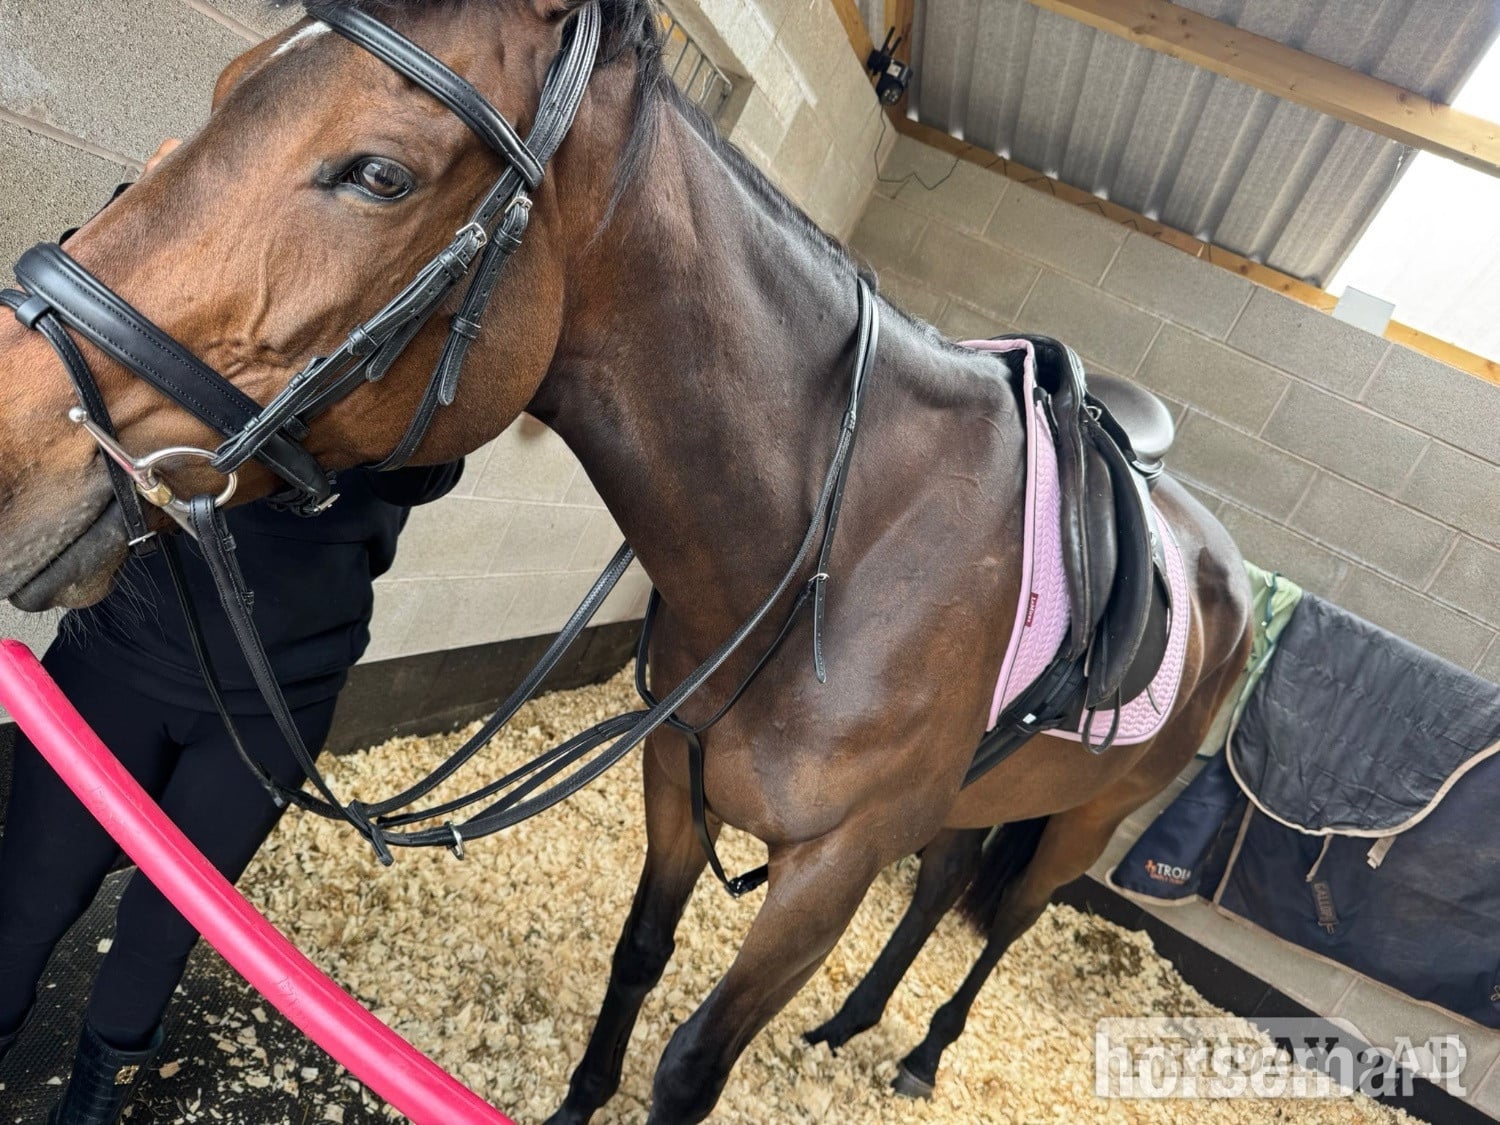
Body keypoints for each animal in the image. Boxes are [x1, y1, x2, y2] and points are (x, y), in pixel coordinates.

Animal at [0, 1, 1252, 1121]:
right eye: (224, 91)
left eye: (381, 175)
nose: (13, 447)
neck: (840, 553)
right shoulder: (674, 781)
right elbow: (639, 955)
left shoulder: (830, 870)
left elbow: (694, 1065)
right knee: (945, 880)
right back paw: (853, 1023)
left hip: (1083, 821)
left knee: (1003, 925)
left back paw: (920, 1054)